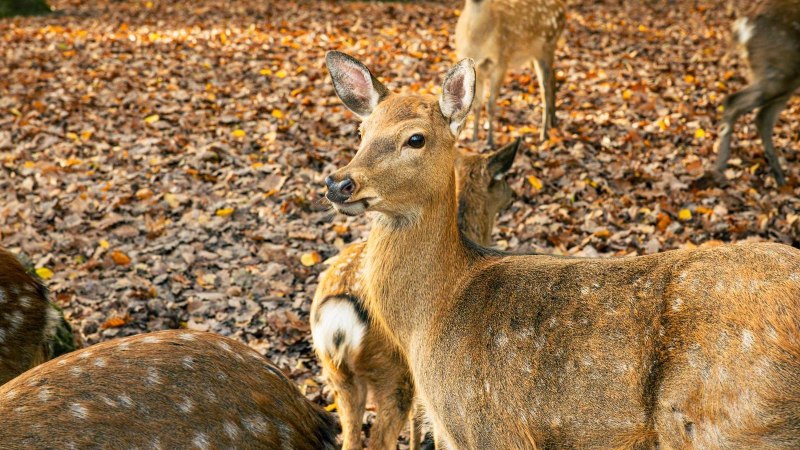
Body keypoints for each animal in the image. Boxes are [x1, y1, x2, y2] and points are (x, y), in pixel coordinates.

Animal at [455, 0, 566, 146]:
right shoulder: (476, 68)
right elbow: (476, 104)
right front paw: (474, 138)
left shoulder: (501, 62)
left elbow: (490, 104)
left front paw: (490, 141)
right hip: (534, 55)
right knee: (553, 77)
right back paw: (553, 121)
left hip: (548, 46)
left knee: (545, 89)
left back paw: (544, 133)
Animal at [713, 0, 800, 186]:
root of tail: (743, 25)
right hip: (779, 72)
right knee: (734, 101)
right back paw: (719, 170)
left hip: (785, 80)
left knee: (762, 117)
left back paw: (781, 179)